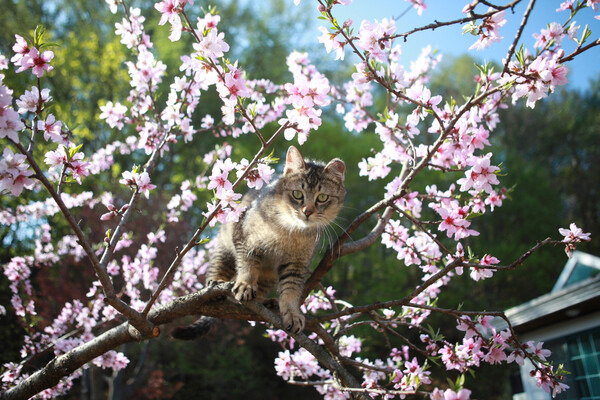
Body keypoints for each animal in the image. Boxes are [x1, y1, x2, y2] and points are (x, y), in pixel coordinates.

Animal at [171, 144, 344, 338]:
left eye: (322, 197)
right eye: (297, 194)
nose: (307, 212)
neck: (289, 230)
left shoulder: (296, 264)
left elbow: (291, 292)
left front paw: (292, 314)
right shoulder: (244, 239)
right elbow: (248, 266)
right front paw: (245, 285)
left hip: (269, 276)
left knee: (261, 288)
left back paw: (266, 301)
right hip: (225, 249)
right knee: (218, 268)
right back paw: (216, 283)